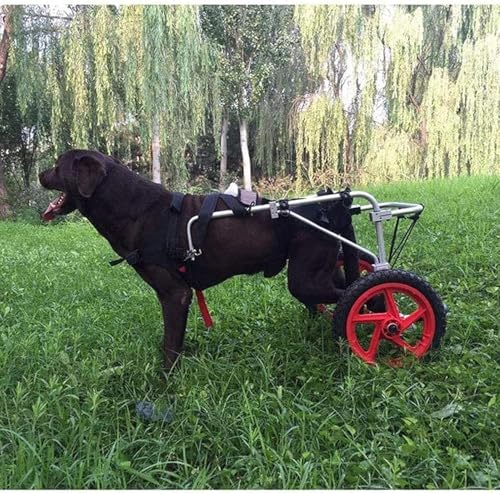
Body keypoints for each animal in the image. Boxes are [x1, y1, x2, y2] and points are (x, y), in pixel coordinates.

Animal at [40, 151, 360, 370]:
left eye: (57, 165)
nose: (40, 174)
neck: (137, 209)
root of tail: (334, 205)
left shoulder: (175, 294)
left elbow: (170, 346)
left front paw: (165, 386)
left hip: (305, 280)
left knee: (355, 297)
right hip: (320, 270)